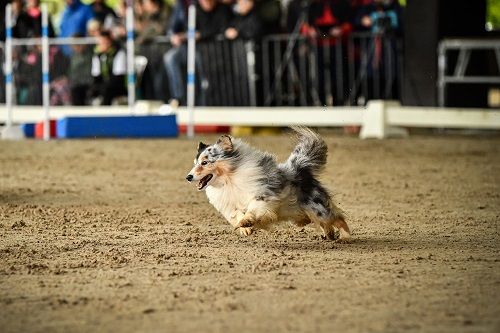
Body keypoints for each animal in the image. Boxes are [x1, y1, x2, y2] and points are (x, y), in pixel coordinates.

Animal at [186, 126, 350, 239]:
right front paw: (245, 228)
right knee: (322, 223)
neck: (230, 180)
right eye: (195, 163)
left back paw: (345, 236)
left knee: (337, 218)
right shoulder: (231, 204)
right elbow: (237, 214)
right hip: (300, 213)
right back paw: (328, 235)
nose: (188, 177)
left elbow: (253, 207)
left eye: (205, 162)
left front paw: (247, 221)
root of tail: (298, 168)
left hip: (318, 208)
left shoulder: (262, 194)